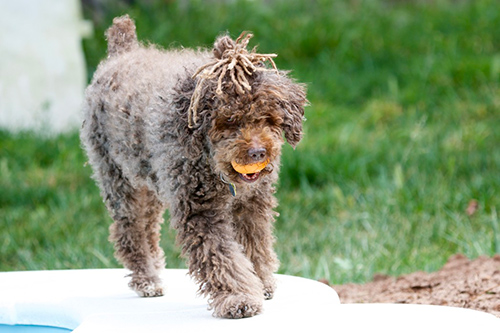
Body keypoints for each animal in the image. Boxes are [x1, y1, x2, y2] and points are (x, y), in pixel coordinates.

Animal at [80, 14, 306, 318]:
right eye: (229, 120)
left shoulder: (252, 204)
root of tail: (122, 51)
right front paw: (237, 297)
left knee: (148, 225)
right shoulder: (198, 210)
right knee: (129, 230)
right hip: (117, 177)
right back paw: (146, 279)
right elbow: (220, 257)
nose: (258, 152)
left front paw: (261, 282)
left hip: (150, 178)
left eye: (268, 117)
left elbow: (255, 244)